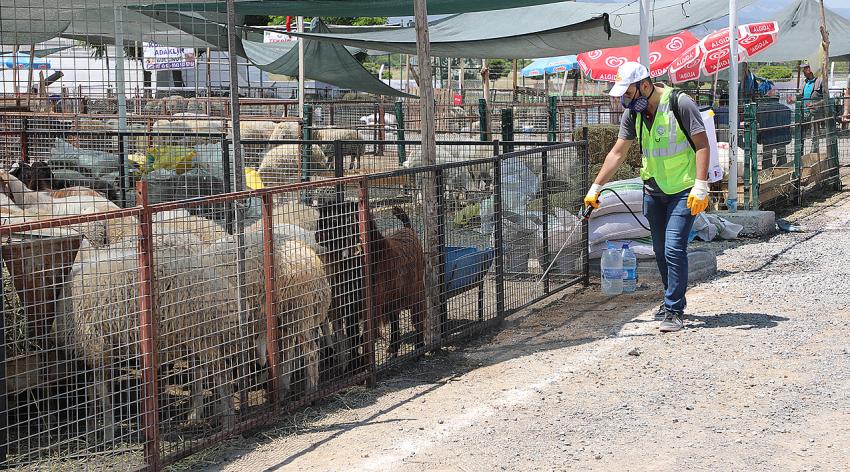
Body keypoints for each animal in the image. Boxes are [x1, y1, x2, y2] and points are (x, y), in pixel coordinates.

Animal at [54, 234, 242, 440]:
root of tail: (227, 292)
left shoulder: (96, 346)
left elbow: (103, 394)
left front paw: (108, 432)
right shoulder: (90, 354)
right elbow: (91, 394)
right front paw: (91, 430)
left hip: (205, 336)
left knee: (222, 377)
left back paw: (229, 424)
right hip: (193, 339)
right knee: (199, 374)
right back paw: (194, 416)